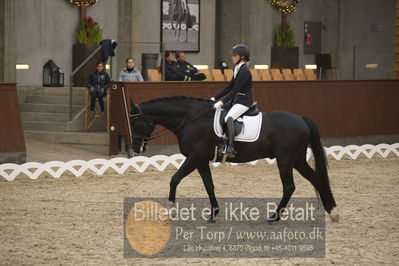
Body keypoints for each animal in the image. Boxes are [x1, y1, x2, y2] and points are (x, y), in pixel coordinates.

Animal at [130, 96, 340, 223]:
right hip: (296, 160)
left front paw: (171, 208)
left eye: (137, 122)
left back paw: (274, 217)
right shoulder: (201, 160)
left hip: (285, 161)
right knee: (316, 179)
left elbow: (174, 179)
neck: (191, 119)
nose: (136, 147)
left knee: (289, 187)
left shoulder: (194, 157)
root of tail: (302, 119)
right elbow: (209, 185)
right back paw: (332, 211)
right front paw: (213, 214)